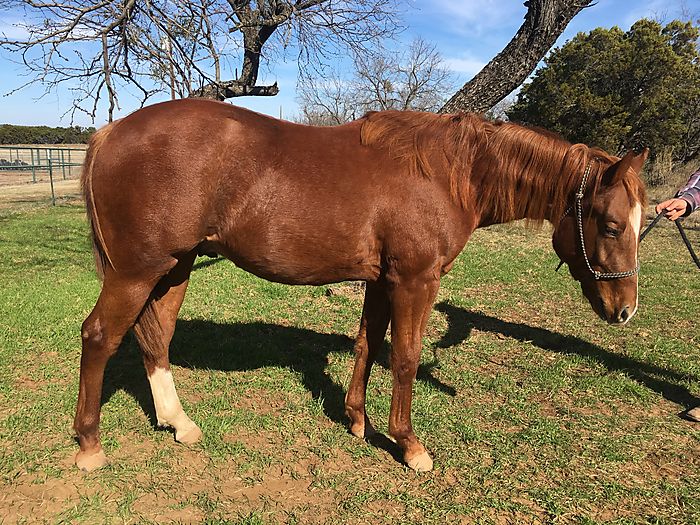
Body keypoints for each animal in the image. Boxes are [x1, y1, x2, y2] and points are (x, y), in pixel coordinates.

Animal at [74, 99, 647, 472]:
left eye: (641, 225)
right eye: (612, 226)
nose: (625, 310)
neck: (448, 174)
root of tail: (109, 132)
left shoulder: (381, 280)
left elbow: (367, 345)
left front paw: (356, 421)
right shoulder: (415, 281)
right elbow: (405, 357)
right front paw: (409, 445)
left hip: (174, 267)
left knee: (155, 339)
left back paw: (179, 423)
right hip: (137, 272)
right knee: (100, 336)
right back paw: (90, 446)